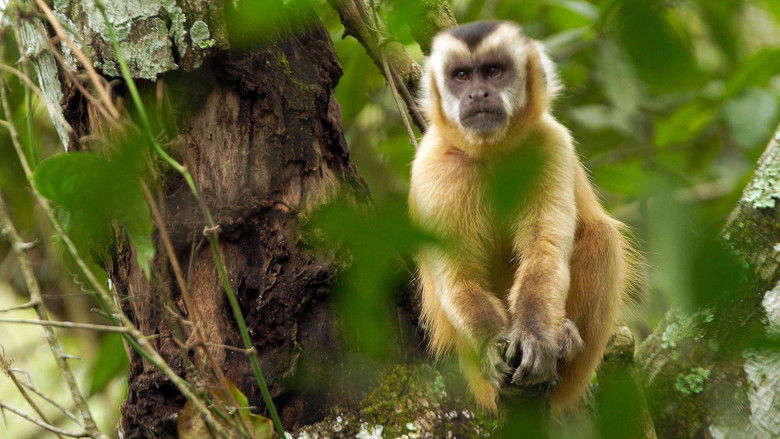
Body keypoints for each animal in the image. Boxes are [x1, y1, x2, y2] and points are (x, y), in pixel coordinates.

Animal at [408, 20, 637, 413]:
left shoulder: (549, 143)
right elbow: (459, 277)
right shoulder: (432, 168)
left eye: (493, 71)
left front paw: (537, 340)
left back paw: (565, 339)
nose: (477, 94)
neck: (492, 153)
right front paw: (491, 346)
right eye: (461, 76)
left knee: (602, 236)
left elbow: (543, 252)